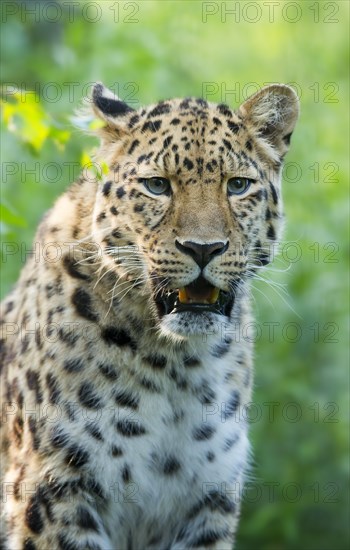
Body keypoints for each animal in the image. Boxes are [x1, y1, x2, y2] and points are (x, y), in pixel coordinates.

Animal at [0, 83, 298, 550]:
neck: (177, 365)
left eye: (238, 186)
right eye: (157, 185)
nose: (203, 248)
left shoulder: (207, 502)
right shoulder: (53, 494)